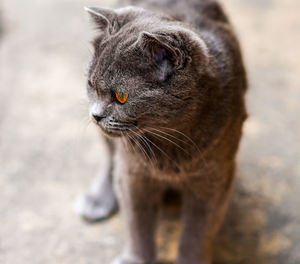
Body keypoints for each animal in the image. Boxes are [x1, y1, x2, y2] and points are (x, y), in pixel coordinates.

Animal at [76, 1, 247, 262]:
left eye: (121, 96)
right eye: (91, 84)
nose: (95, 115)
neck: (172, 140)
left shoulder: (215, 177)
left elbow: (198, 232)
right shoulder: (133, 173)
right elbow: (137, 222)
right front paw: (135, 258)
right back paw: (97, 200)